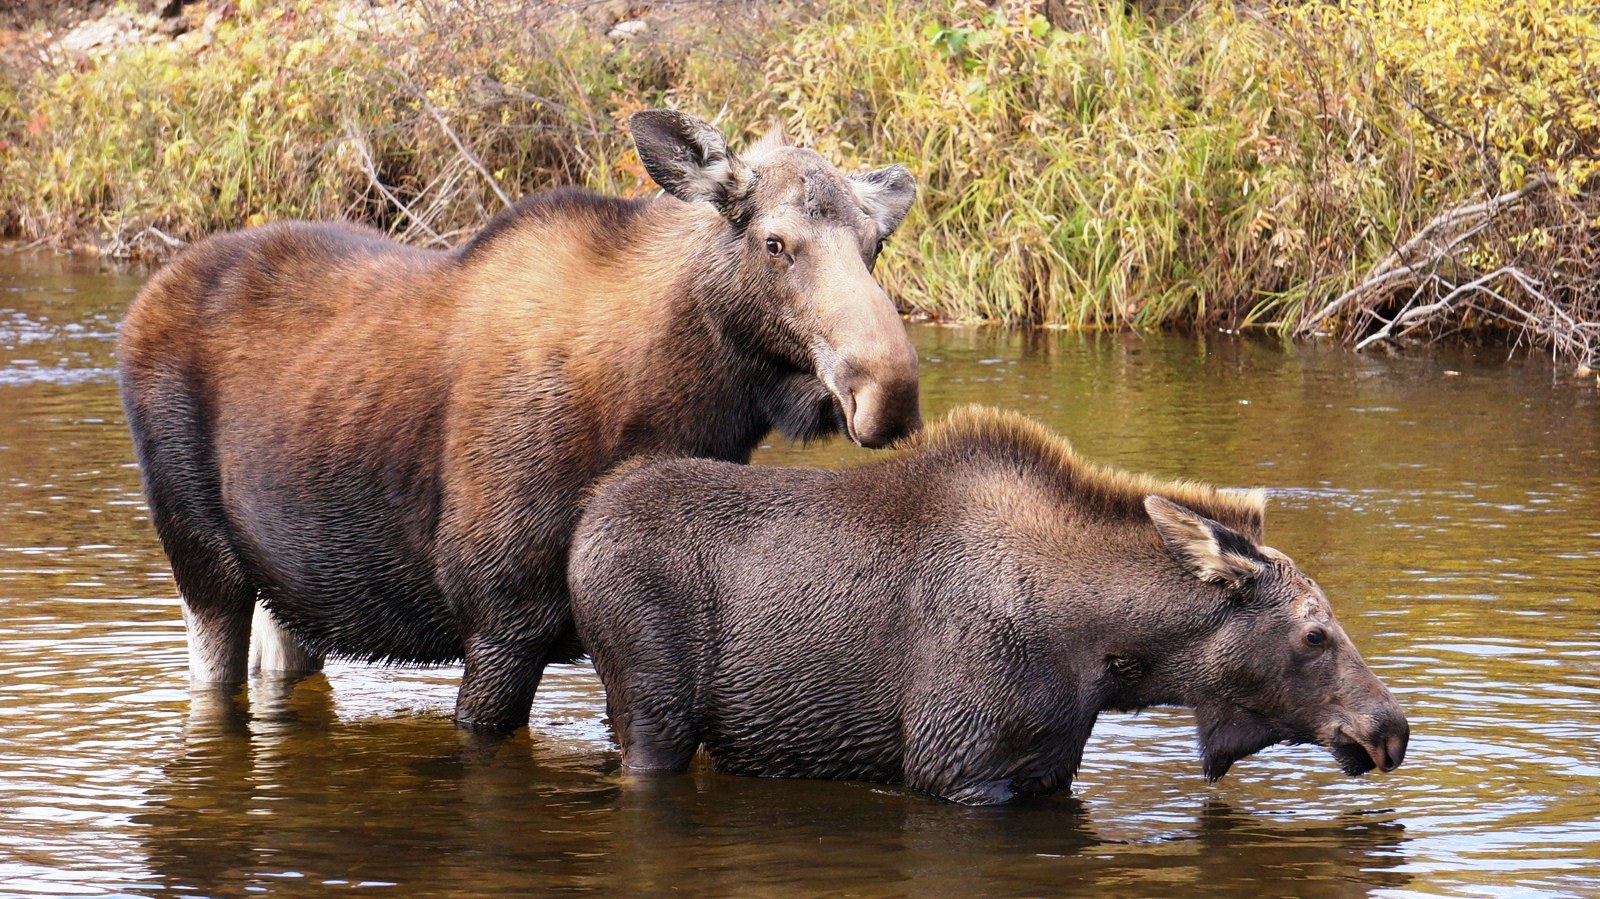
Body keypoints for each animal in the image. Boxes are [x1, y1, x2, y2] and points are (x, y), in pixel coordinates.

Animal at [118, 110, 921, 729]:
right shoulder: (500, 618)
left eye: (875, 244)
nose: (888, 392)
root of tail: (142, 304)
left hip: (289, 585)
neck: (675, 412)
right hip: (201, 559)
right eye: (774, 242)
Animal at [569, 404, 1408, 796]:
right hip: (652, 709)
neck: (1101, 658)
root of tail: (584, 524)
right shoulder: (959, 770)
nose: (1392, 729)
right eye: (1313, 634)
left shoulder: (1044, 772)